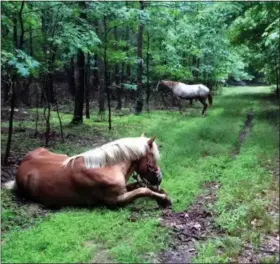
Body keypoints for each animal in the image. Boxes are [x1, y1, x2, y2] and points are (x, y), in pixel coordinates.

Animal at [3, 134, 172, 208]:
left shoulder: (124, 188)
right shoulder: (114, 200)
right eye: (153, 158)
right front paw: (164, 200)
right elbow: (143, 190)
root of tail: (22, 165)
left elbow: (140, 186)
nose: (159, 178)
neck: (106, 167)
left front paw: (162, 192)